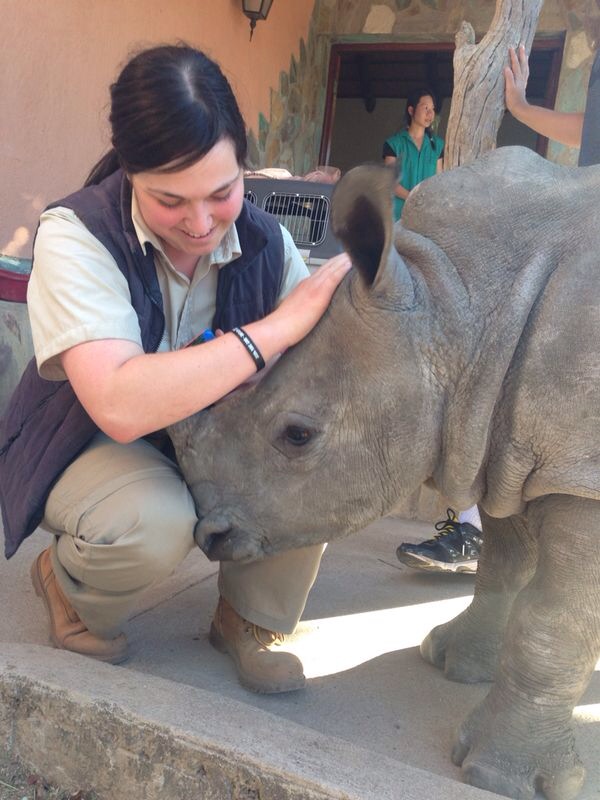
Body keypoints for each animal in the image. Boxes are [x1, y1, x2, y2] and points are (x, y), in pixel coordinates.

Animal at [169, 146, 600, 800]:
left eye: (298, 435)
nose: (208, 535)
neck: (459, 303)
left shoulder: (576, 475)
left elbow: (553, 620)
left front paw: (497, 776)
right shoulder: (505, 446)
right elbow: (503, 566)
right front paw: (454, 663)